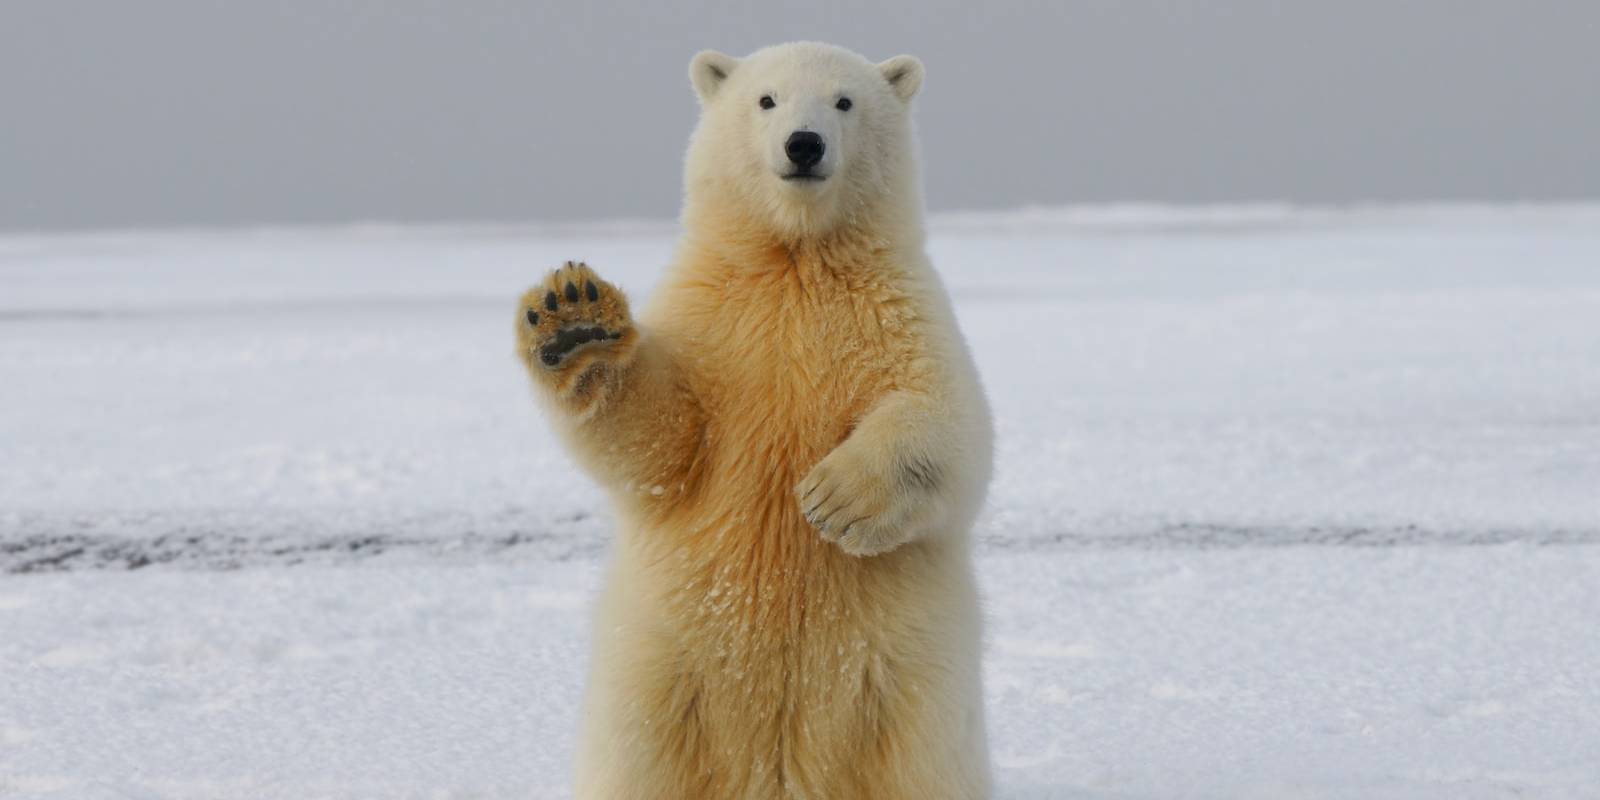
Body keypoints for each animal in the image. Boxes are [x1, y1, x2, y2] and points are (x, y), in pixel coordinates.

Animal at [515, 42, 993, 799]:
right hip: (658, 678)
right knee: (640, 760)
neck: (795, 258)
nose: (804, 144)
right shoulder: (713, 321)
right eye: (766, 99)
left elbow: (949, 422)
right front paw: (574, 319)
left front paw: (833, 499)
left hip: (908, 693)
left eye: (844, 101)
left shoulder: (900, 314)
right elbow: (662, 440)